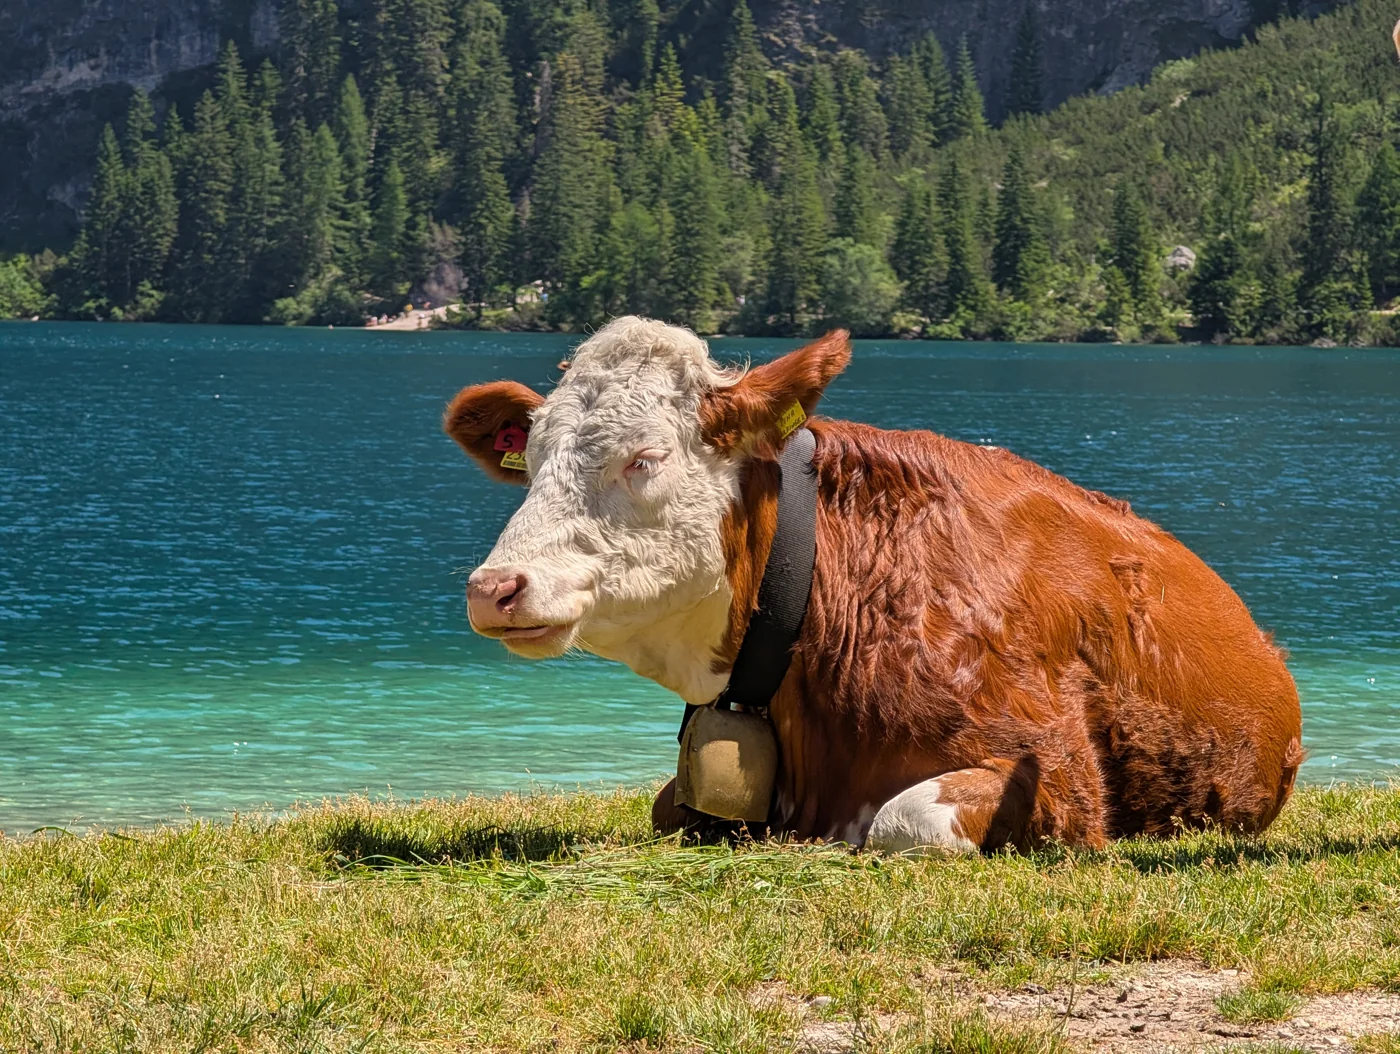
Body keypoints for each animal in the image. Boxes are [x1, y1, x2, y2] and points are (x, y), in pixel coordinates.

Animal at [444, 316, 1304, 853]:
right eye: (534, 457)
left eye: (645, 457)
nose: (495, 586)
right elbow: (665, 807)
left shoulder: (1057, 775)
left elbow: (902, 821)